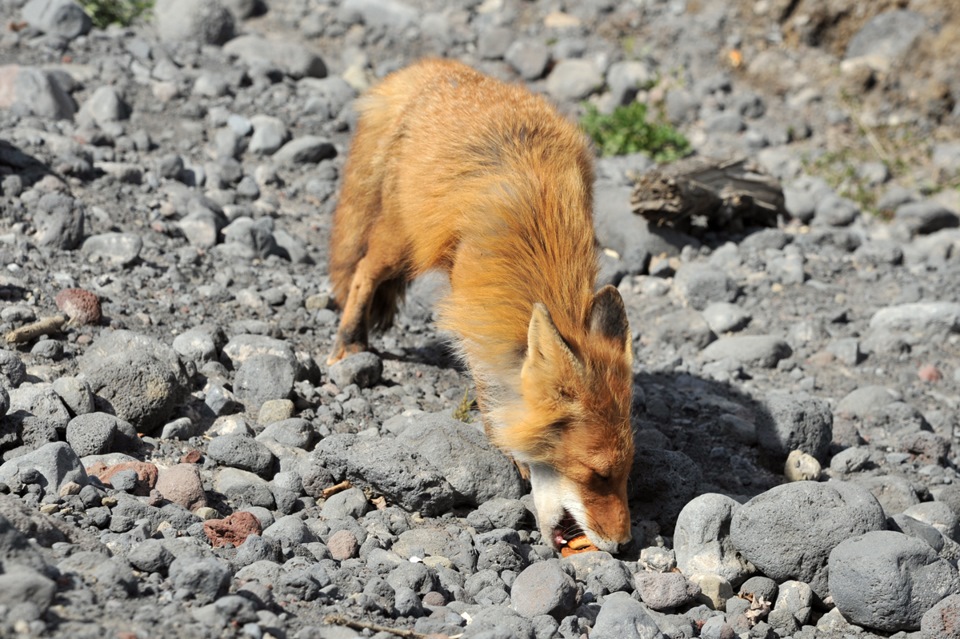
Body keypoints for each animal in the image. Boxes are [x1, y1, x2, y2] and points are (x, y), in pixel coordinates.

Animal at [326, 57, 632, 552]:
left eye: (627, 474)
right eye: (597, 475)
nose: (625, 544)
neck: (542, 241)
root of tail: (433, 67)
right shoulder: (474, 306)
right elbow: (489, 383)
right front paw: (508, 450)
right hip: (402, 238)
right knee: (363, 273)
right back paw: (349, 341)